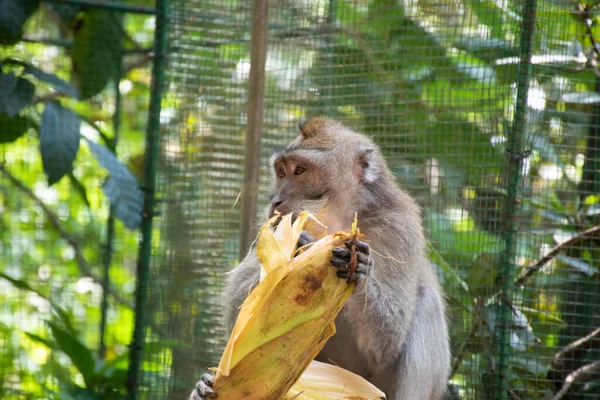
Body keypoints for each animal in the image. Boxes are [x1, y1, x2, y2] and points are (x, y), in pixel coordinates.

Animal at [190, 117, 448, 398]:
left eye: (300, 170)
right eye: (281, 172)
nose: (275, 200)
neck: (341, 218)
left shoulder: (399, 227)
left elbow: (387, 342)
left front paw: (359, 269)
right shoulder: (269, 223)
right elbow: (240, 315)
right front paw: (297, 246)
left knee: (427, 303)